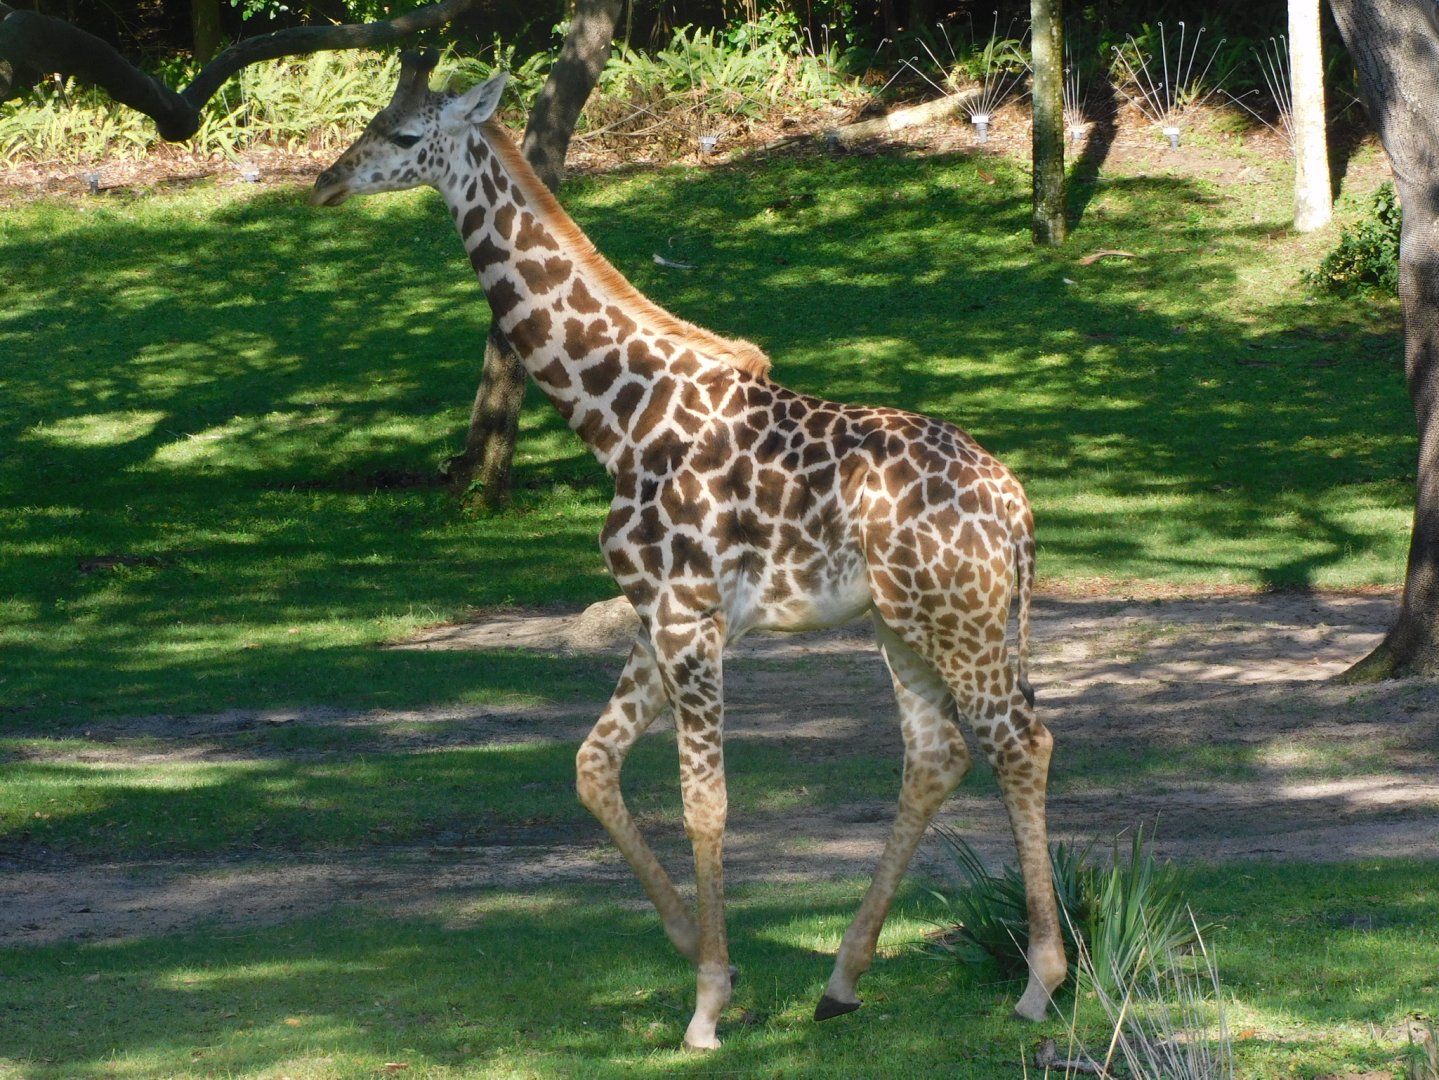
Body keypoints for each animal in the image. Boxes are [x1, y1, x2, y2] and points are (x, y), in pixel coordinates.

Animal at [311, 51, 1066, 1050]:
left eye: (401, 134)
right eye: (367, 121)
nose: (325, 182)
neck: (615, 418)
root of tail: (1017, 511)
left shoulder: (689, 619)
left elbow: (703, 800)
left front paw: (706, 1004)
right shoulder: (653, 617)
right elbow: (592, 767)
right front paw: (703, 954)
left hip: (962, 623)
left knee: (1021, 740)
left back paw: (1039, 983)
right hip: (903, 622)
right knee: (937, 754)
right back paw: (840, 980)